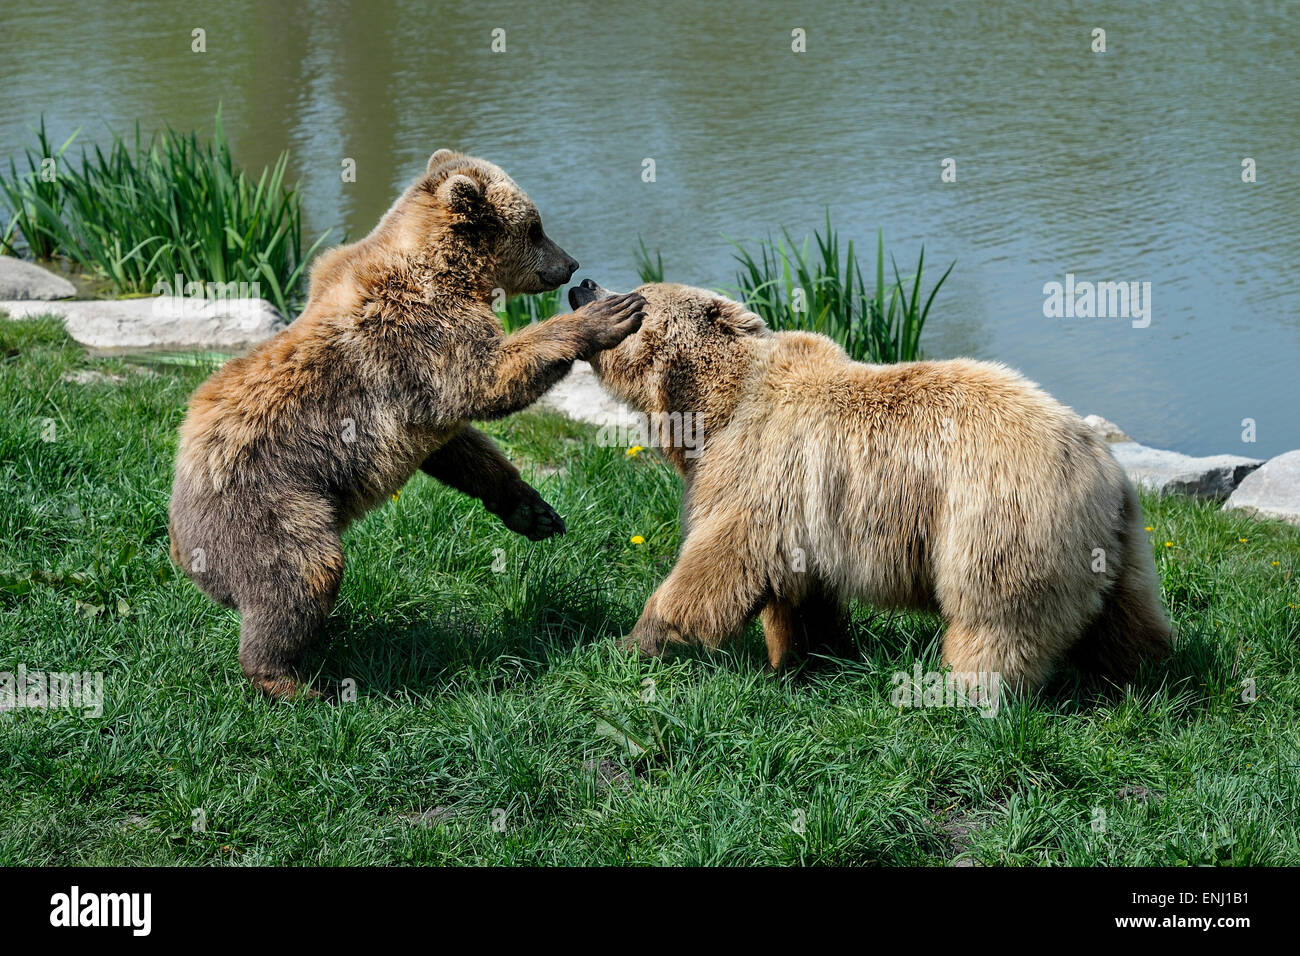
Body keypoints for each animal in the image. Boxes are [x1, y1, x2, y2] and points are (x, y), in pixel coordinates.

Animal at [168, 151, 646, 699]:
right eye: (535, 227)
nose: (571, 265)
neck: (448, 270)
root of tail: (182, 549)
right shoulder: (417, 329)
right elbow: (486, 380)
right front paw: (609, 314)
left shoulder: (417, 400)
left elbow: (461, 448)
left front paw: (533, 511)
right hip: (268, 504)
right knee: (302, 574)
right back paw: (293, 682)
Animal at [568, 279, 1171, 694]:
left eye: (637, 294)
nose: (582, 285)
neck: (711, 408)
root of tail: (1100, 463)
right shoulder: (801, 509)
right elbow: (799, 593)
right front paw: (800, 657)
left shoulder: (757, 468)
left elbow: (718, 559)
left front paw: (634, 639)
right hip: (1116, 544)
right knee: (1127, 616)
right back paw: (1146, 672)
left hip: (999, 515)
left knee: (994, 616)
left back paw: (966, 691)